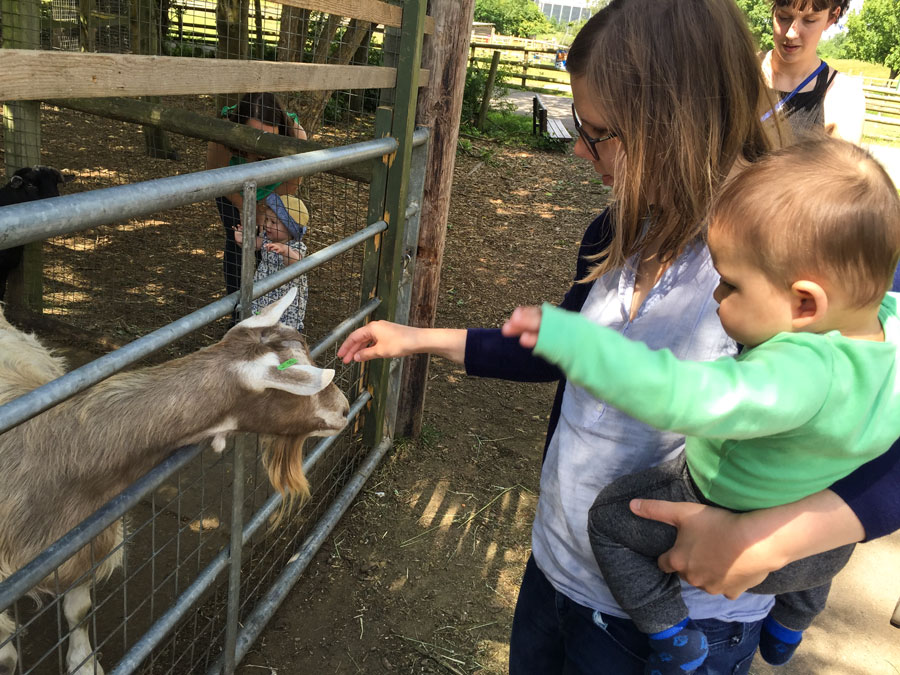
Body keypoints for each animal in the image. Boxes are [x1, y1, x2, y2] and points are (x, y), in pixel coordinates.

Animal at [0, 288, 350, 672]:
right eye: (293, 386)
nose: (345, 409)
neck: (50, 453)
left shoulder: (85, 544)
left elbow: (78, 610)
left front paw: (85, 664)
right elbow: (7, 657)